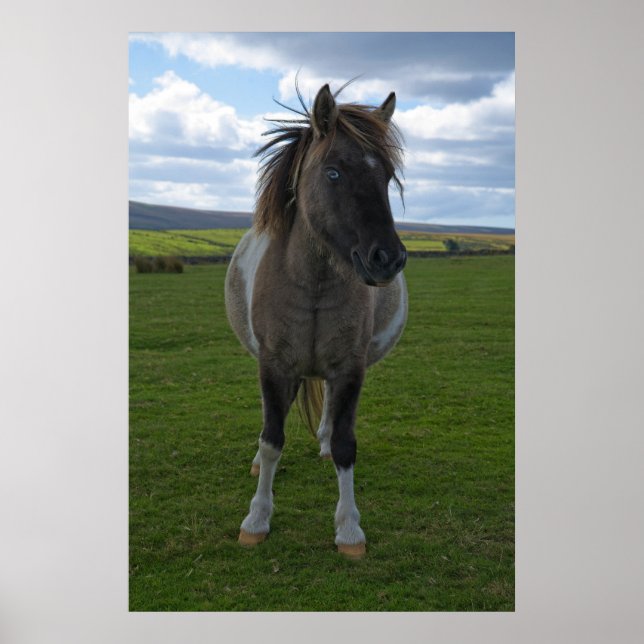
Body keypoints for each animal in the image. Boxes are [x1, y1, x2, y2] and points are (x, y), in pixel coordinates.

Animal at [224, 83, 408, 558]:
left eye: (386, 176)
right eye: (333, 173)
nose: (388, 258)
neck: (312, 282)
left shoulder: (349, 369)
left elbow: (345, 444)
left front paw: (349, 529)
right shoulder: (273, 366)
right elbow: (272, 439)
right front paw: (256, 520)